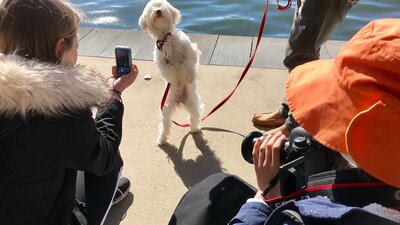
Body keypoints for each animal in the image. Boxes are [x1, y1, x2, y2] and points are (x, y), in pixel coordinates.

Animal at [140, 0, 203, 144]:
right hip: (166, 107)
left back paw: (195, 128)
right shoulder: (161, 60)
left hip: (191, 102)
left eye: (162, 5)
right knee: (166, 123)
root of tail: (179, 99)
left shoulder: (189, 49)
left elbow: (187, 62)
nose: (158, 10)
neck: (165, 38)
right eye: (152, 8)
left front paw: (188, 75)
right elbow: (170, 71)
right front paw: (175, 72)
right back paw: (162, 139)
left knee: (194, 115)